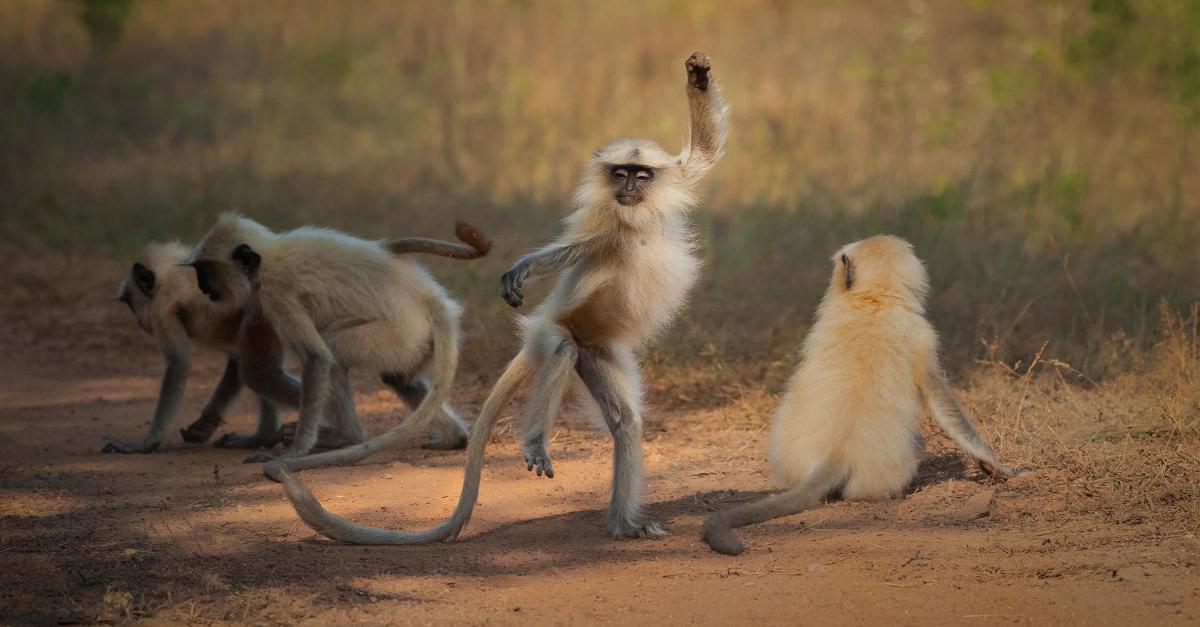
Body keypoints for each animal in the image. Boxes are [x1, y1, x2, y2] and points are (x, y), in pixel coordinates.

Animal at [184, 217, 484, 461]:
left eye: (205, 273)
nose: (202, 288)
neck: (268, 254)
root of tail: (429, 298)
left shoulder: (276, 293)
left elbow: (316, 358)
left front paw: (293, 453)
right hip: (416, 341)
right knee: (397, 376)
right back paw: (453, 438)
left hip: (397, 334)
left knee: (333, 352)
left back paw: (346, 437)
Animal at [266, 52, 724, 540]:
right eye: (620, 174)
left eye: (641, 175)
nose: (629, 188)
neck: (636, 217)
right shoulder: (603, 223)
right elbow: (569, 252)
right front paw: (523, 268)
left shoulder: (667, 184)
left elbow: (705, 152)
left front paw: (698, 75)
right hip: (558, 332)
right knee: (562, 351)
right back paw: (538, 444)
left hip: (597, 350)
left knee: (625, 423)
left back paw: (622, 525)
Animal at [700, 234, 1012, 552]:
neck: (874, 300)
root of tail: (835, 455)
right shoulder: (922, 335)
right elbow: (946, 404)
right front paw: (996, 465)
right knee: (917, 443)